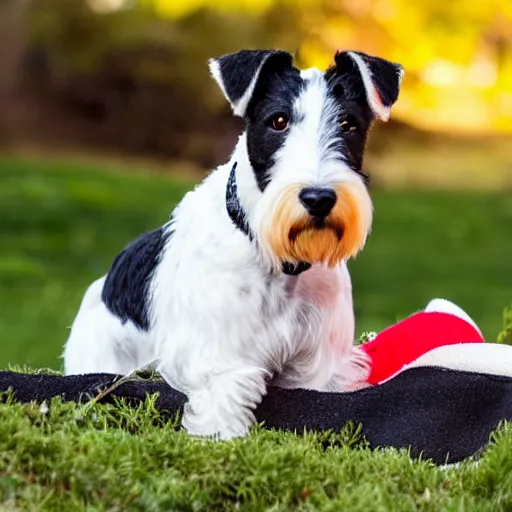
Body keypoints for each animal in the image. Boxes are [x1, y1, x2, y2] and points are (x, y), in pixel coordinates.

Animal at [61, 49, 404, 440]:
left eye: (348, 124)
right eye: (278, 121)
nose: (318, 198)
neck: (278, 260)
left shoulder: (321, 363)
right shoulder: (215, 354)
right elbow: (224, 396)